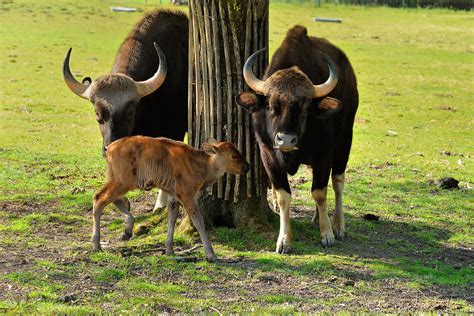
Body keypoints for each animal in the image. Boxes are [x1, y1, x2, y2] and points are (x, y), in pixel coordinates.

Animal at [90, 136, 250, 262]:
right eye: (234, 156)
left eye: (239, 152)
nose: (247, 167)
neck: (201, 164)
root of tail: (109, 147)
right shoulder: (187, 196)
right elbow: (199, 222)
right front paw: (211, 255)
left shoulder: (174, 195)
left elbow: (172, 218)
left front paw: (170, 250)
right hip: (123, 182)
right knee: (99, 199)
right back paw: (97, 244)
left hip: (116, 179)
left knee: (113, 199)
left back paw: (127, 230)